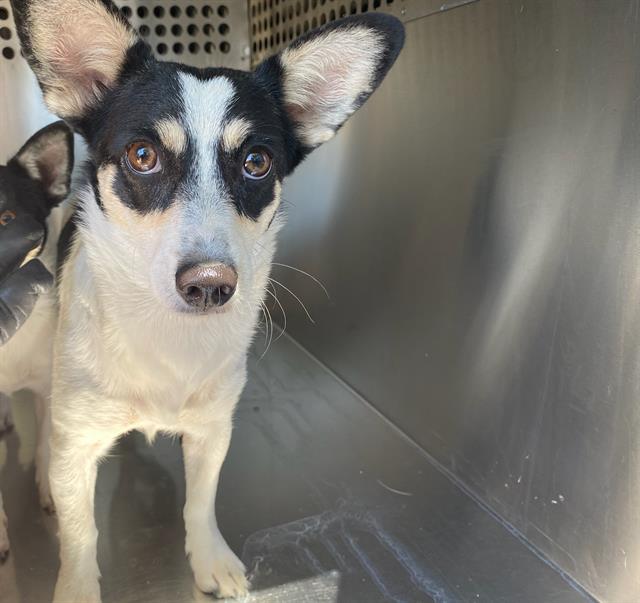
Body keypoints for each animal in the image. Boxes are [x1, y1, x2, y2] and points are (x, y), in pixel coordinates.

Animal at [8, 1, 404, 600]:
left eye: (257, 162)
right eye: (142, 155)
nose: (212, 284)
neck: (166, 332)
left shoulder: (212, 431)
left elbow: (201, 501)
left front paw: (209, 558)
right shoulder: (78, 442)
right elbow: (80, 537)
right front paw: (76, 587)